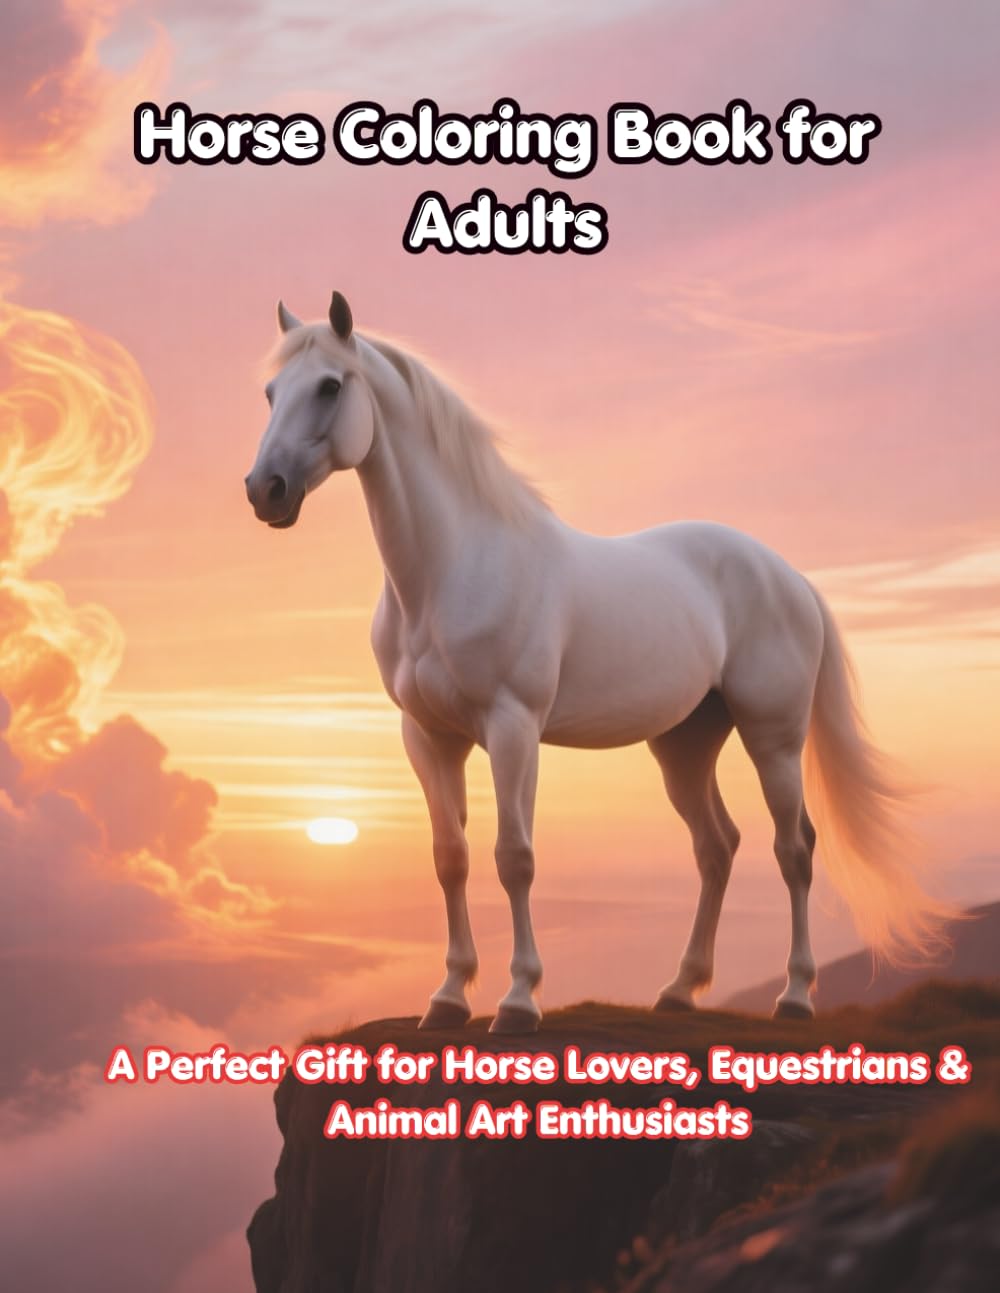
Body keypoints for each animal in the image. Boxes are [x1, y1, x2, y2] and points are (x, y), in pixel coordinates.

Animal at [245, 290, 949, 1034]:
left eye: (329, 386)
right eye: (271, 392)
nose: (266, 490)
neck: (452, 567)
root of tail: (789, 576)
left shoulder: (513, 728)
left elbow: (514, 857)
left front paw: (518, 1000)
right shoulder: (428, 736)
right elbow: (450, 857)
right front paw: (448, 997)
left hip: (774, 739)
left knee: (795, 849)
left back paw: (794, 995)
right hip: (685, 744)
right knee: (717, 846)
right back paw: (679, 988)